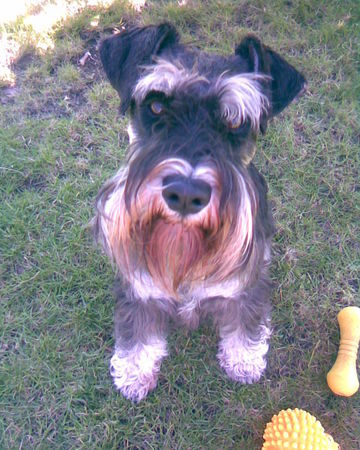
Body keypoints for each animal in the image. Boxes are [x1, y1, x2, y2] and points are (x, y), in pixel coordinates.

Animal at [92, 22, 304, 402]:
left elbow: (246, 318)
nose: (186, 194)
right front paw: (134, 370)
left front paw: (244, 359)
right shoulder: (138, 287)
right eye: (156, 105)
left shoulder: (246, 284)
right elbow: (137, 327)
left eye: (235, 122)